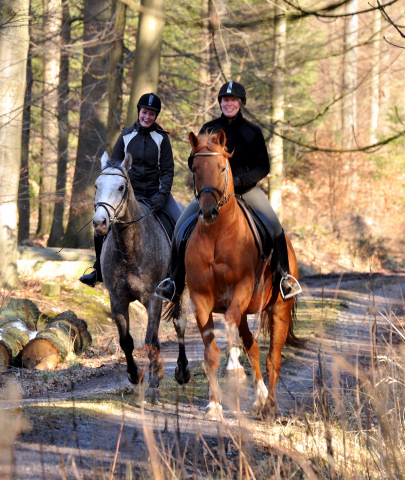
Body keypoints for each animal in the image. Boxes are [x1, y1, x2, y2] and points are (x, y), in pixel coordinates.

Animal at [92, 154, 190, 390]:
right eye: (97, 185)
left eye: (121, 187)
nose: (99, 222)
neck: (130, 248)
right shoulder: (117, 300)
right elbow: (126, 341)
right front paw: (135, 375)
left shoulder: (153, 299)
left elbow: (150, 339)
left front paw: (154, 379)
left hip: (181, 289)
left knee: (179, 324)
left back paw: (182, 372)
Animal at [169, 130, 298, 420]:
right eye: (195, 168)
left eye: (221, 167)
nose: (207, 212)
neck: (217, 235)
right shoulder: (201, 298)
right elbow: (211, 352)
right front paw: (214, 405)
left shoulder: (241, 288)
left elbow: (228, 326)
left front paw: (233, 371)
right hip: (246, 311)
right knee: (252, 346)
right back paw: (260, 399)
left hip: (280, 309)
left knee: (273, 358)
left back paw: (270, 406)